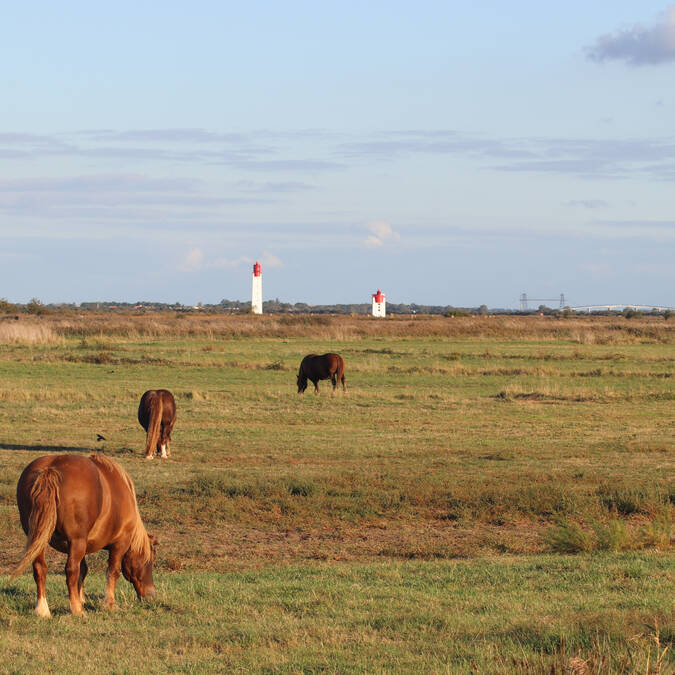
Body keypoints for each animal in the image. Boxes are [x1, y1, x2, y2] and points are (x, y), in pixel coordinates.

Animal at [12, 454, 156, 616]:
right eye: (151, 560)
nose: (151, 595)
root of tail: (50, 469)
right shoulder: (119, 543)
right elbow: (112, 571)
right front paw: (109, 604)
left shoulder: (82, 546)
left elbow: (83, 571)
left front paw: (81, 599)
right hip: (75, 541)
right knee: (70, 570)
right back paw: (76, 610)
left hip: (39, 539)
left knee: (40, 568)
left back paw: (43, 610)